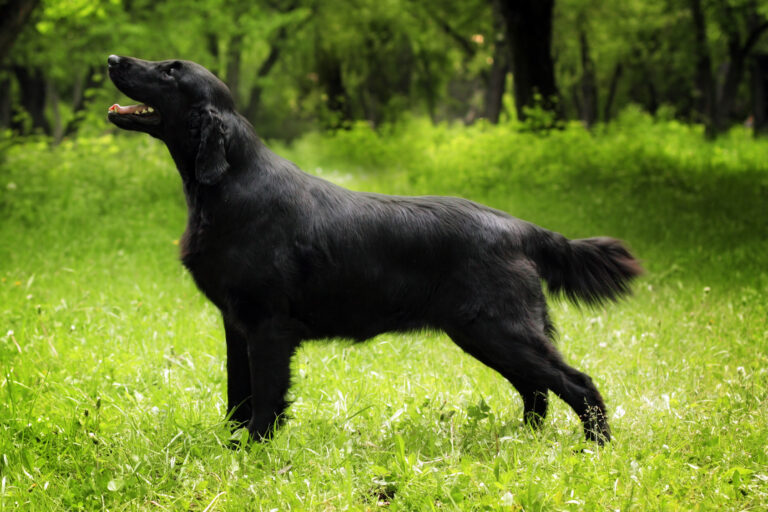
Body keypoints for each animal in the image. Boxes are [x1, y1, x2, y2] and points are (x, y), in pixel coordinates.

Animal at [105, 54, 640, 442]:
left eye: (171, 71)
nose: (112, 59)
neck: (231, 187)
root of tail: (518, 226)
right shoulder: (236, 324)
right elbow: (239, 396)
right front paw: (231, 447)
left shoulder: (268, 325)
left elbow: (266, 399)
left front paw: (254, 452)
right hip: (484, 333)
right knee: (537, 391)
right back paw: (521, 440)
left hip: (498, 328)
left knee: (576, 383)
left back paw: (595, 447)